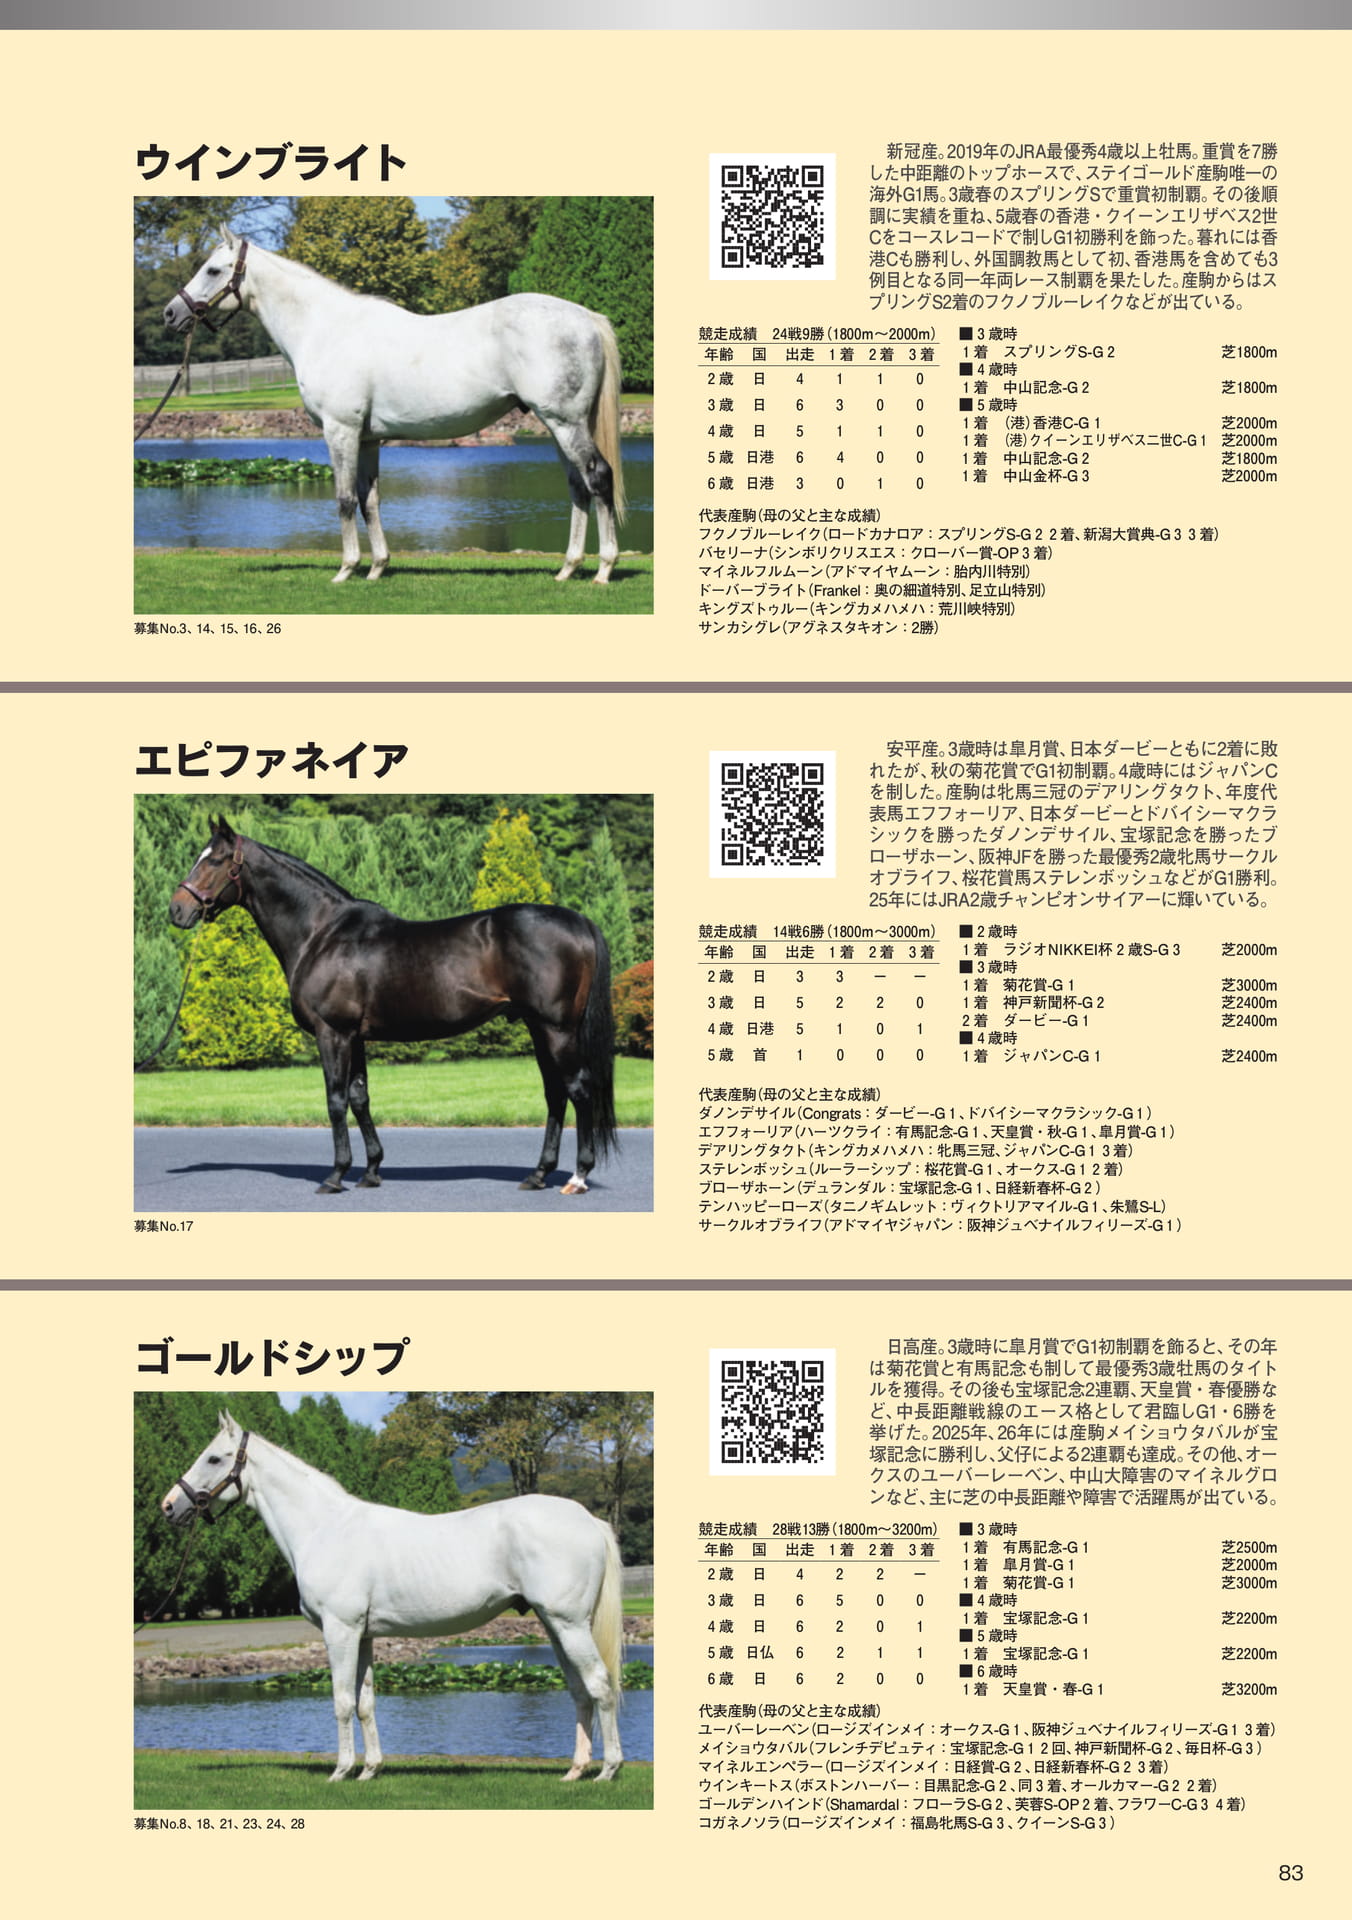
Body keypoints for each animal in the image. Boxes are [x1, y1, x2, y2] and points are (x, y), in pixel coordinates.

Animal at [160, 1412, 625, 1782]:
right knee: (580, 1691)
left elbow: (342, 1701)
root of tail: (587, 1518)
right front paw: (369, 1770)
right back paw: (575, 1770)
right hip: (555, 1625)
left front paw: (341, 1770)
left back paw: (607, 1770)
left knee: (600, 1685)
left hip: (568, 1624)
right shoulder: (363, 1635)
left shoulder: (340, 1631)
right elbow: (365, 1703)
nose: (168, 1506)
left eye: (214, 1458)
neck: (324, 1528)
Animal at [163, 228, 626, 585]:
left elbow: (344, 499)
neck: (326, 329)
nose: (171, 314)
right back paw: (567, 569)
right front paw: (377, 568)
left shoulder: (340, 431)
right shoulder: (368, 440)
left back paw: (603, 570)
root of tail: (585, 317)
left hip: (565, 423)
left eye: (213, 270)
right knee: (577, 486)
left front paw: (346, 569)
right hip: (558, 426)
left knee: (598, 478)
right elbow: (370, 500)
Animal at [168, 817, 618, 1197]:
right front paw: (370, 1171)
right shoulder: (355, 1037)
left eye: (216, 860)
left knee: (578, 1089)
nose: (177, 910)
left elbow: (335, 1099)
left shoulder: (333, 1033)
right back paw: (538, 1174)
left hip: (556, 1030)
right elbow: (359, 1097)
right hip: (538, 1028)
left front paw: (335, 1176)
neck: (321, 933)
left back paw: (577, 1177)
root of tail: (580, 922)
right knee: (555, 1093)